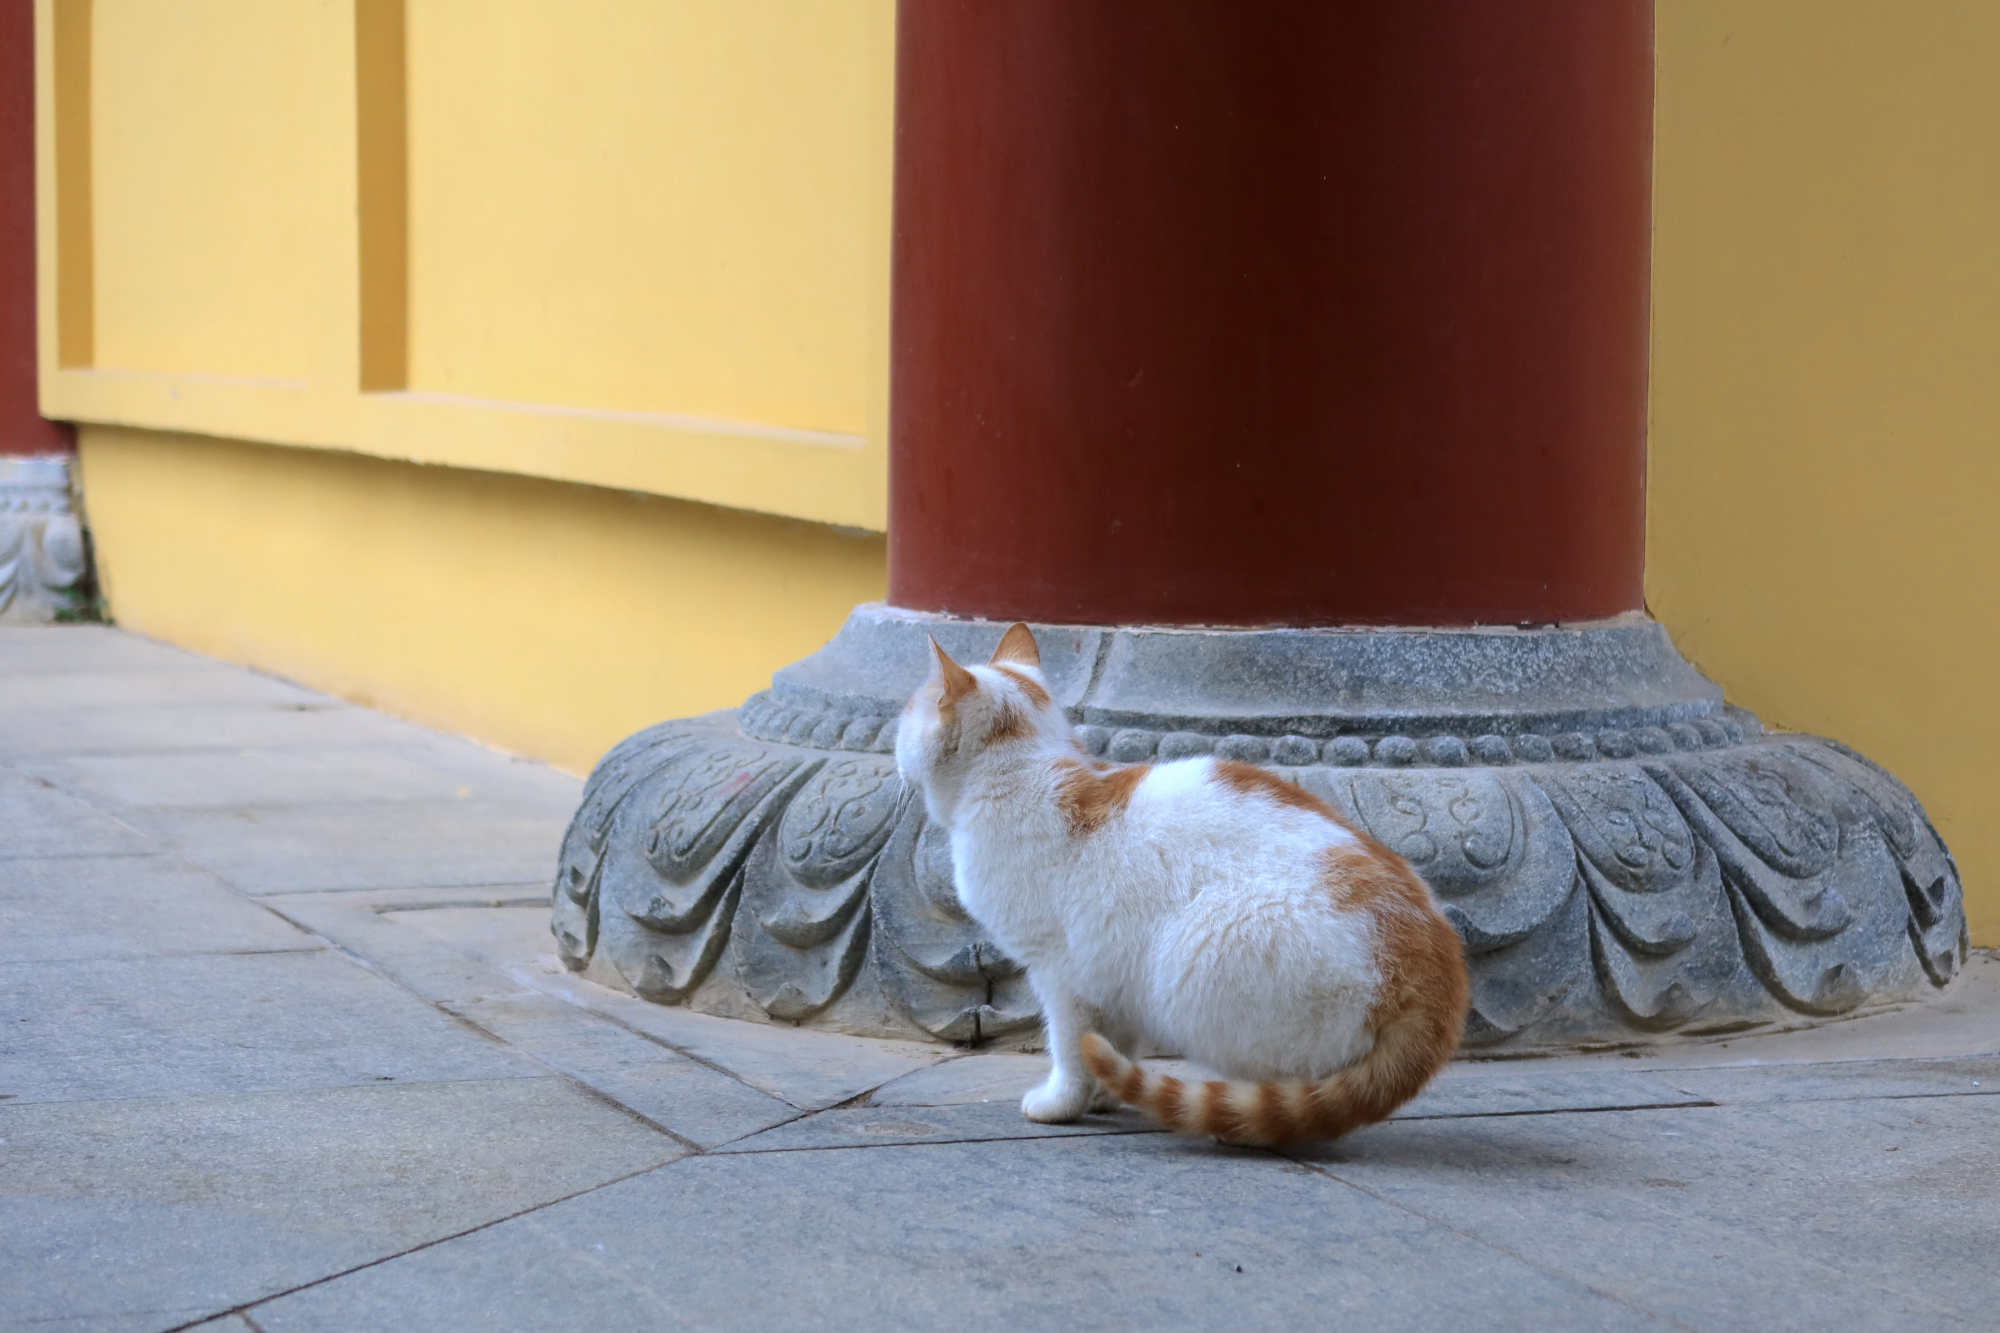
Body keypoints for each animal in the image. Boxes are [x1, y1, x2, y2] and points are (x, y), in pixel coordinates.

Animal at [892, 624, 1472, 1144]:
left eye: (907, 713)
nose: (896, 738)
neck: (1023, 767)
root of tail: (1437, 970)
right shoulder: (1111, 969)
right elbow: (1117, 1044)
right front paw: (1106, 1094)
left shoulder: (1061, 972)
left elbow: (1071, 1048)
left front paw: (1064, 1103)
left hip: (1204, 949)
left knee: (1291, 1089)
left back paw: (1239, 1120)